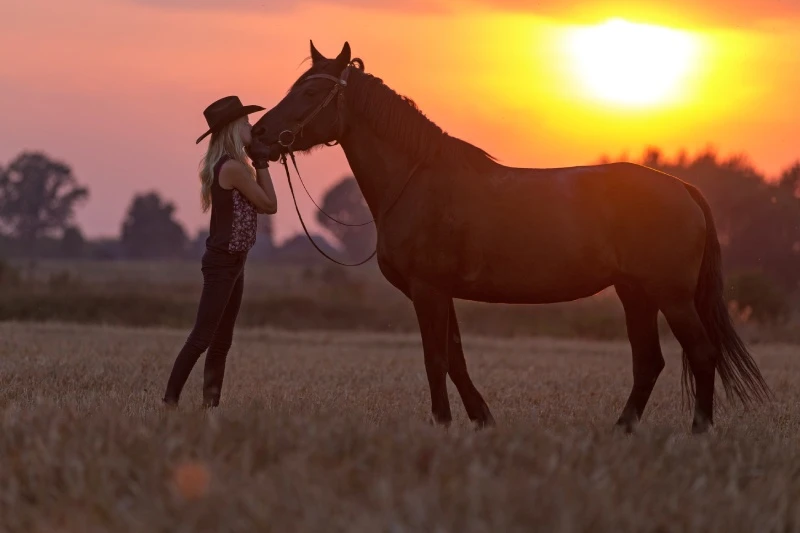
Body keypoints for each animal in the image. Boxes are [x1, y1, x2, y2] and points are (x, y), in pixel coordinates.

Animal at [253, 40, 772, 432]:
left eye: (311, 91)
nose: (258, 137)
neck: (417, 180)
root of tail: (683, 188)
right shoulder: (441, 292)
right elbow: (456, 359)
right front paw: (482, 420)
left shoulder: (427, 290)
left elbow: (435, 359)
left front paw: (442, 424)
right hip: (635, 294)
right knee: (650, 362)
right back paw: (622, 429)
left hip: (671, 295)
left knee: (701, 352)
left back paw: (698, 431)